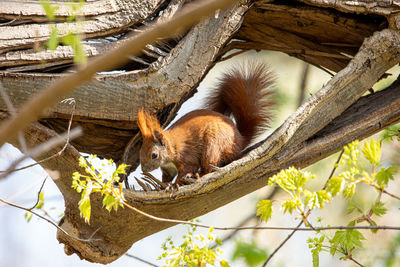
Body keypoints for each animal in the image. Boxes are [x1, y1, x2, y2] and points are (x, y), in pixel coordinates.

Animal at [136, 62, 274, 186]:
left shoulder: (187, 157)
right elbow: (167, 175)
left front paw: (175, 184)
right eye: (140, 151)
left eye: (154, 155)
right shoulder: (168, 168)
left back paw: (199, 174)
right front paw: (162, 185)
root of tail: (240, 140)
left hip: (213, 145)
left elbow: (187, 168)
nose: (144, 170)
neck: (172, 146)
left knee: (210, 167)